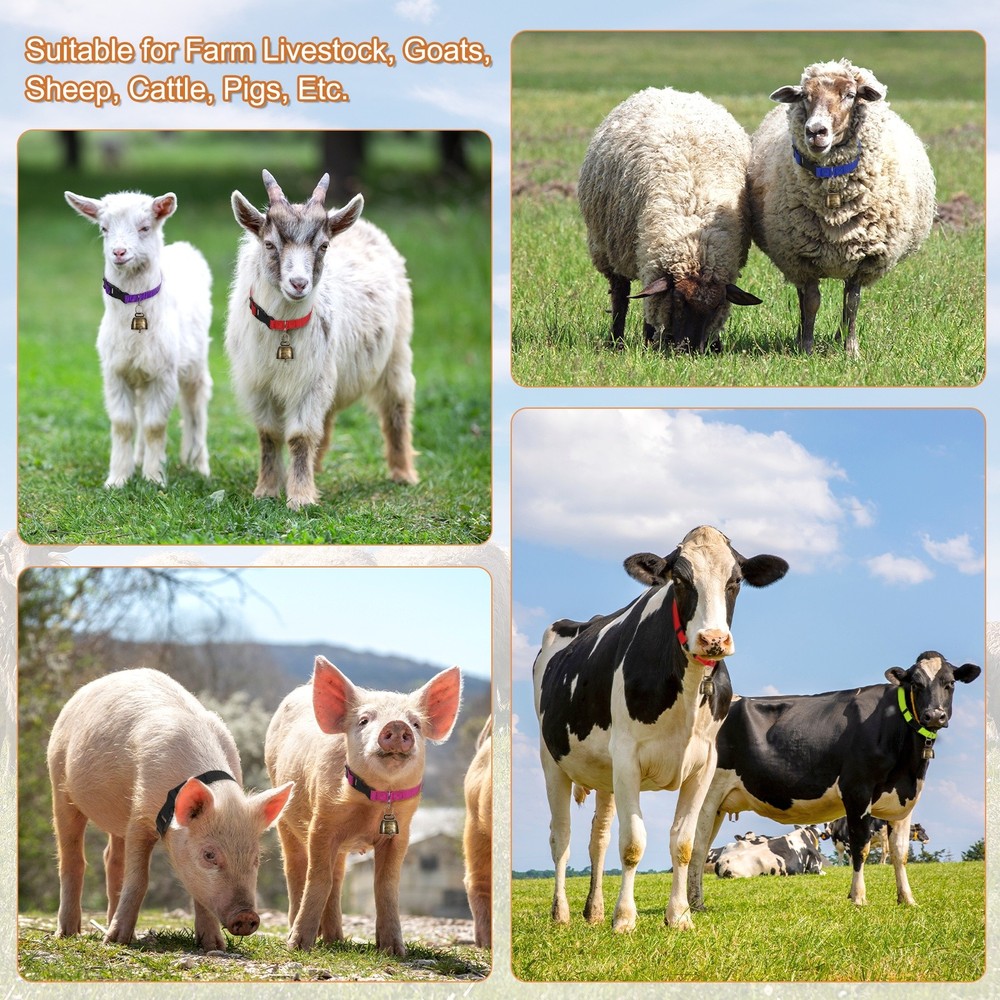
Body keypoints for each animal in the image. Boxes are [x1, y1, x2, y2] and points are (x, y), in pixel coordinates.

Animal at [64, 189, 212, 487]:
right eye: (104, 228)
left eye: (145, 227)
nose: (119, 252)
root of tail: (184, 248)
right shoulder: (116, 372)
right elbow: (123, 424)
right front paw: (118, 478)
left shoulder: (164, 373)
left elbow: (156, 426)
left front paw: (154, 479)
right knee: (143, 412)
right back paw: (140, 457)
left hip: (195, 360)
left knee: (196, 406)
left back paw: (199, 465)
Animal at [225, 170, 417, 511]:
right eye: (269, 244)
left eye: (324, 246)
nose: (298, 284)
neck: (283, 329)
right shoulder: (259, 383)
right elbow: (268, 434)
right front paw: (267, 490)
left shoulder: (310, 381)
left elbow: (300, 436)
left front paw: (300, 498)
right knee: (326, 421)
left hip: (395, 351)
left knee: (396, 403)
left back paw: (403, 472)